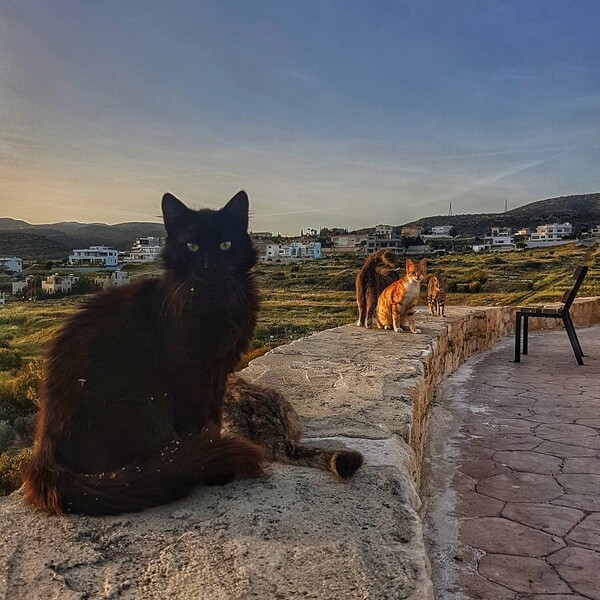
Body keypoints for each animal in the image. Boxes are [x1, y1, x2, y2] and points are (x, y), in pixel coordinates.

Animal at [24, 192, 264, 516]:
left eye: (225, 245)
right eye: (192, 246)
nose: (209, 265)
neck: (214, 301)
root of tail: (46, 459)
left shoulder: (217, 373)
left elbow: (213, 417)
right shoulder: (189, 374)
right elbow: (199, 421)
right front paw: (214, 468)